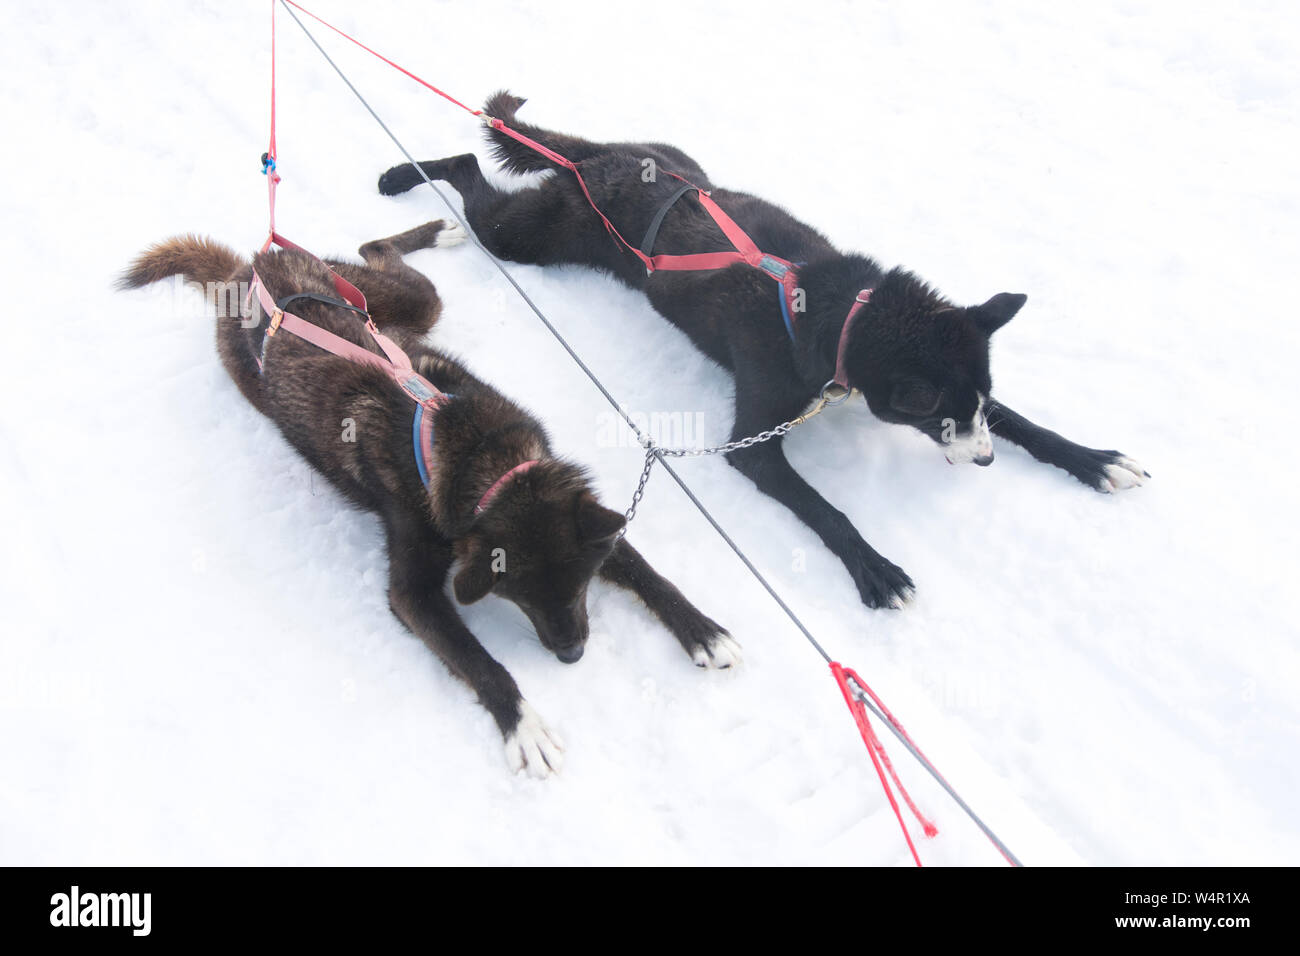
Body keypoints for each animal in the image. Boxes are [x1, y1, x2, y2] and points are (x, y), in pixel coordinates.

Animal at [119, 222, 743, 780]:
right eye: (519, 597)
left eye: (578, 587)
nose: (571, 657)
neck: (480, 458)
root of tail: (250, 270)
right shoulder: (413, 592)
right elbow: (477, 658)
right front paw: (523, 724)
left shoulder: (581, 510)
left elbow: (647, 573)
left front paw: (702, 629)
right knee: (372, 248)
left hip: (405, 301)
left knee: (378, 250)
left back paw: (437, 231)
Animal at [379, 93, 1149, 608]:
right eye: (942, 419)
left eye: (973, 409)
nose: (985, 462)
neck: (844, 317)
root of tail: (595, 161)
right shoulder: (753, 443)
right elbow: (825, 508)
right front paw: (873, 566)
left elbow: (1025, 421)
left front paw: (1093, 459)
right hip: (522, 237)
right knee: (470, 166)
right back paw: (403, 176)